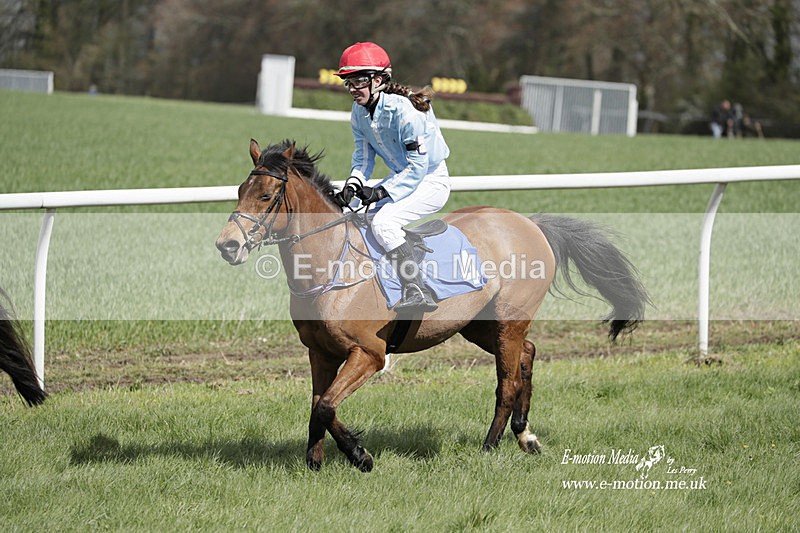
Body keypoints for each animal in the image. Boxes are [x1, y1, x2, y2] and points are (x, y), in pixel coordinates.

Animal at [216, 139, 649, 472]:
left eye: (266, 195)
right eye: (238, 191)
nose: (227, 246)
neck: (333, 267)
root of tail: (530, 223)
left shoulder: (369, 353)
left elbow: (324, 406)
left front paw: (360, 456)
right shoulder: (320, 353)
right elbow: (319, 405)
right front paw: (314, 462)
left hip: (508, 322)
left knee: (507, 382)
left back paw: (490, 446)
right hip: (478, 326)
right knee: (527, 353)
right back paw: (525, 435)